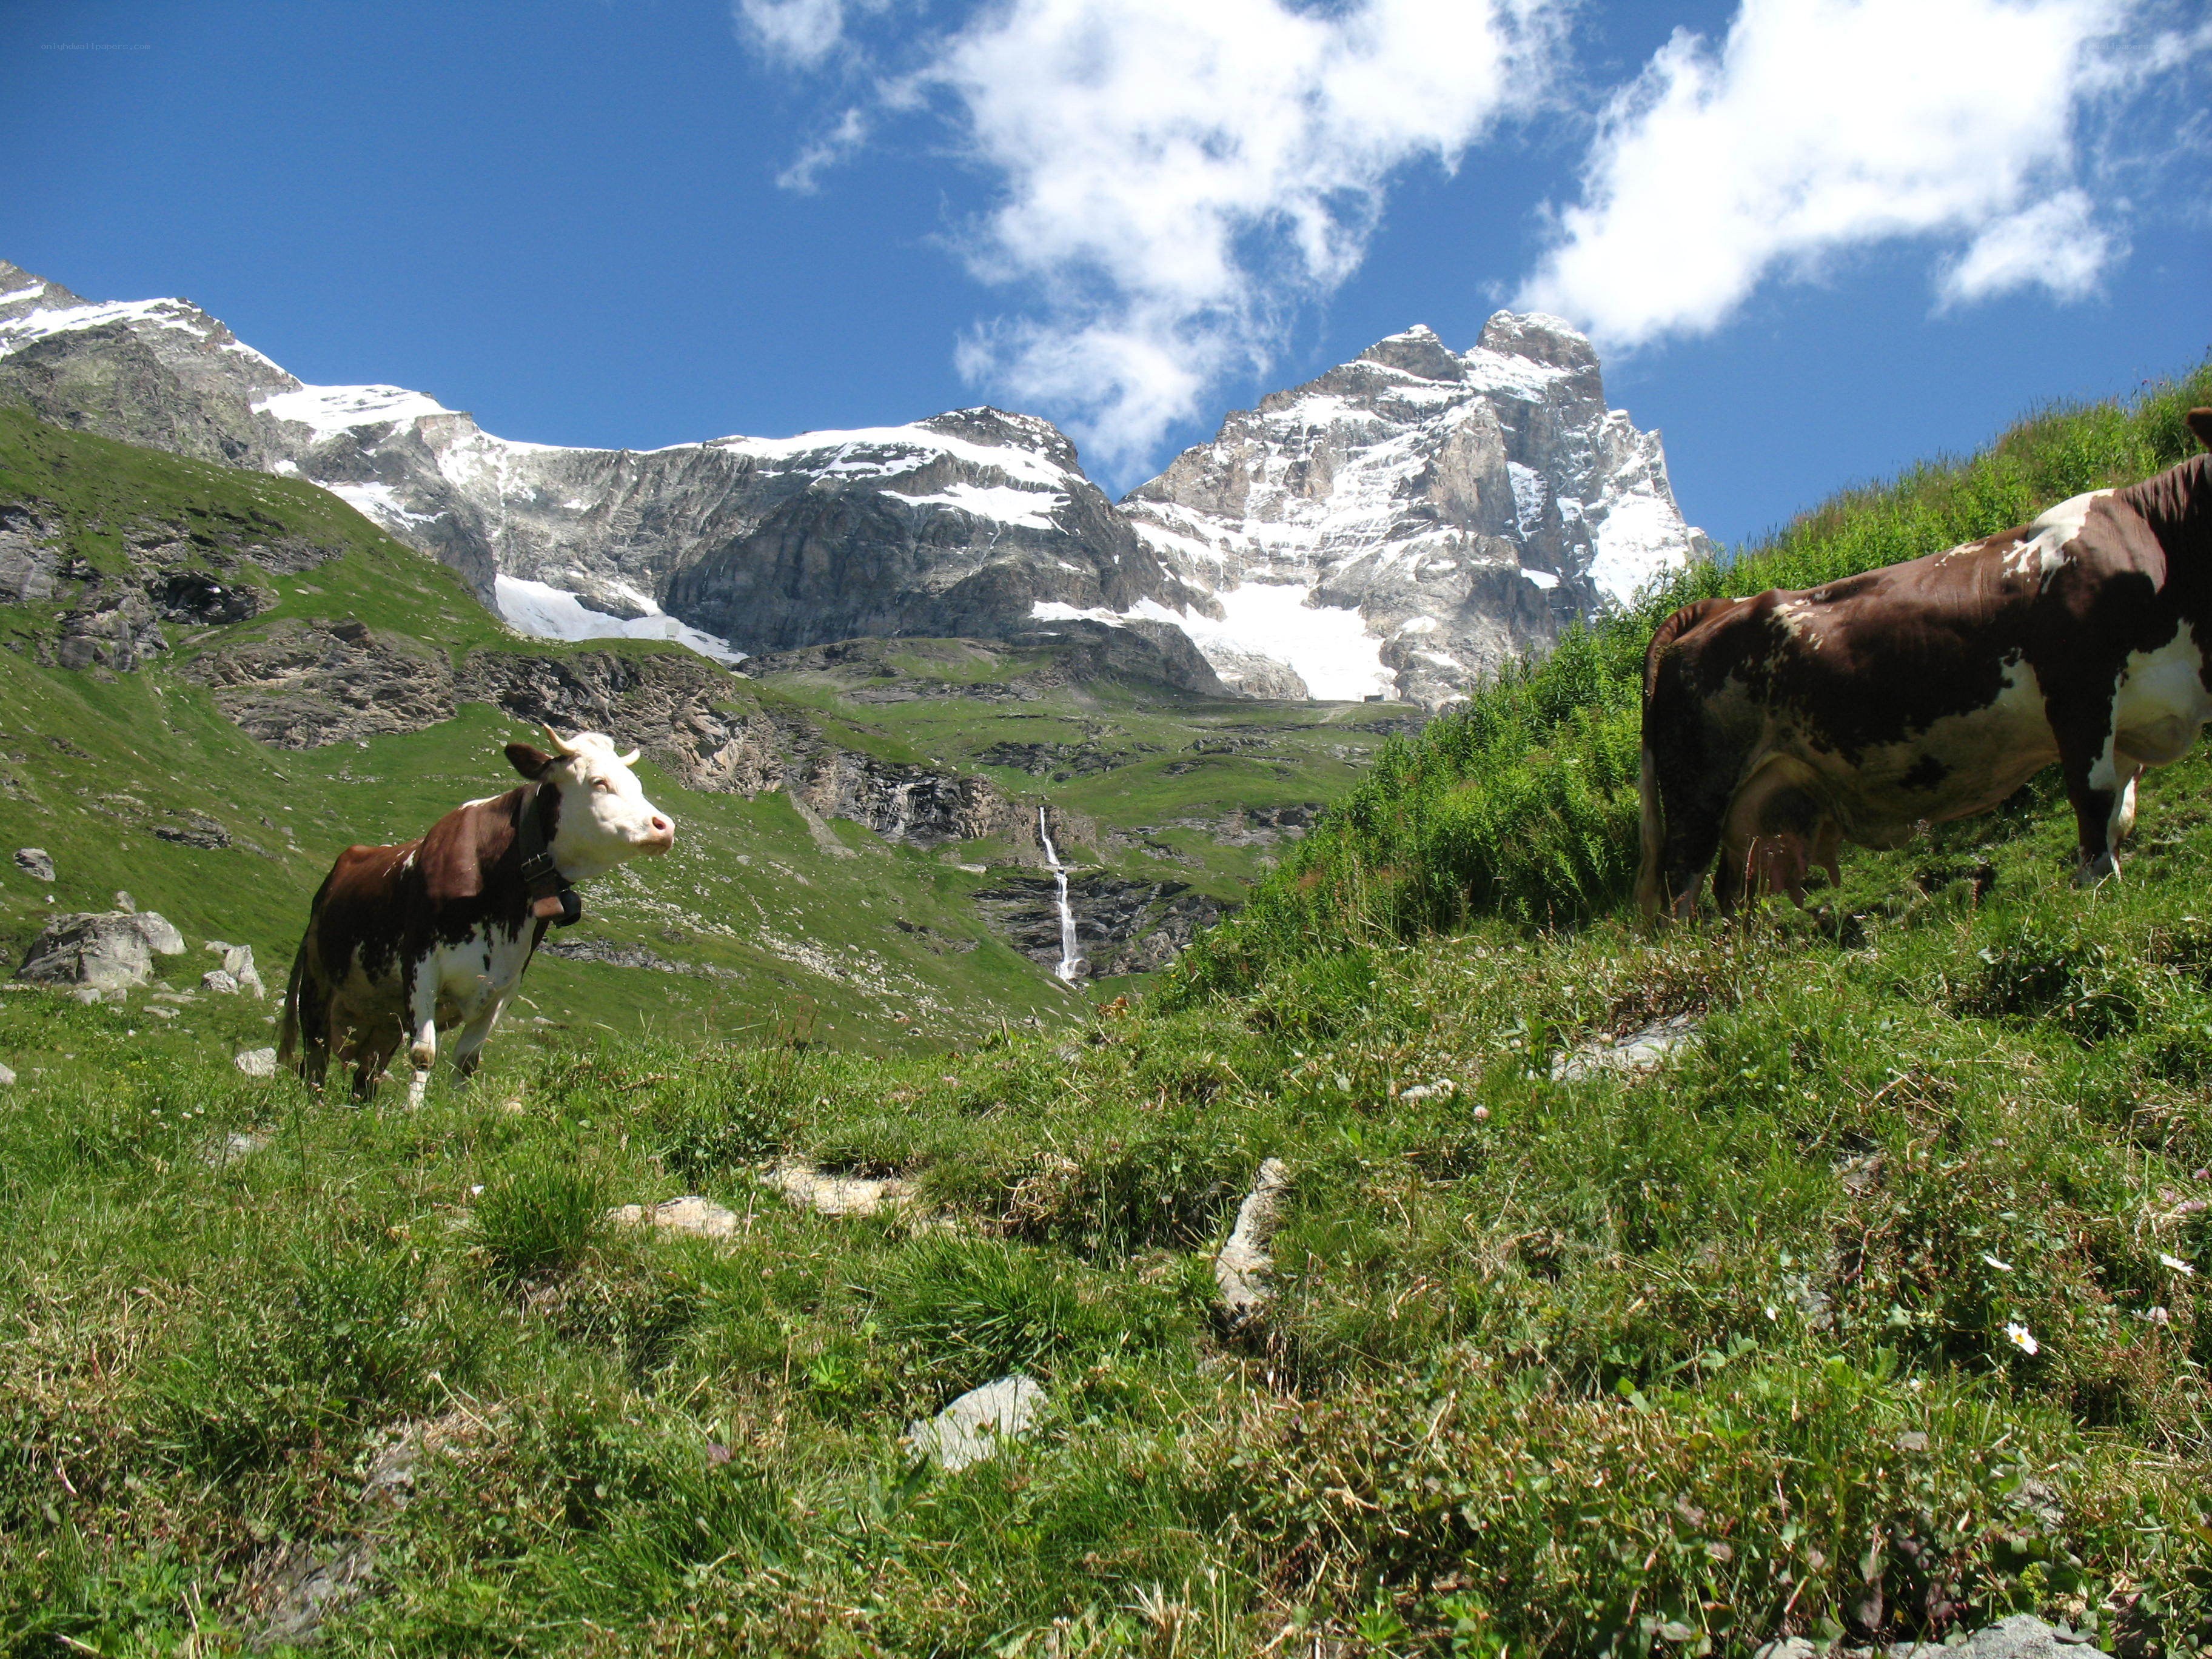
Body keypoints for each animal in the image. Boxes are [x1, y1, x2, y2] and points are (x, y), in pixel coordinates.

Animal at [278, 727, 675, 1100]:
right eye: (599, 782)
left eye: (637, 785)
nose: (665, 826)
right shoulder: (420, 964)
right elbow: (423, 1053)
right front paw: (412, 1114)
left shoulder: (504, 985)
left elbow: (467, 1061)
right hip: (317, 979)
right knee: (315, 1052)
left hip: (384, 1018)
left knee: (368, 1073)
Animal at [1638, 408, 2212, 922]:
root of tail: (1716, 607)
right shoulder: (2080, 689)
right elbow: (2093, 796)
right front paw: (2096, 889)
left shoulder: (2134, 717)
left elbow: (2122, 811)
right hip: (1698, 789)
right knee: (1680, 886)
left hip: (1755, 799)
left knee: (1732, 886)